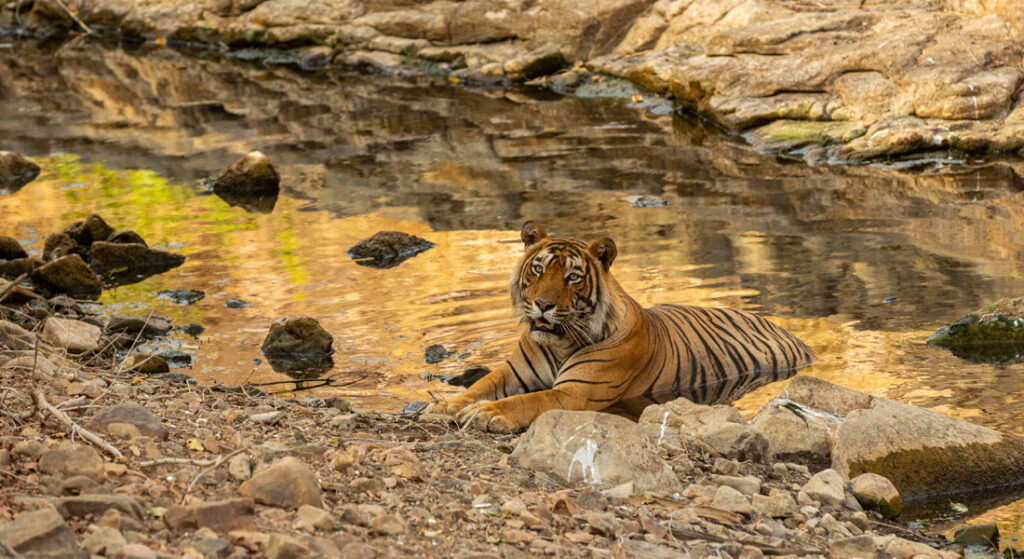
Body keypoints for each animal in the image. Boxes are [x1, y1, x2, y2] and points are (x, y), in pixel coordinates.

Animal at [424, 221, 816, 432]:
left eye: (572, 277)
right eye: (538, 269)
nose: (543, 304)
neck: (559, 342)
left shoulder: (574, 394)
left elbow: (529, 400)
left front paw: (489, 413)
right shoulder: (511, 372)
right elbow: (479, 387)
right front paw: (445, 406)